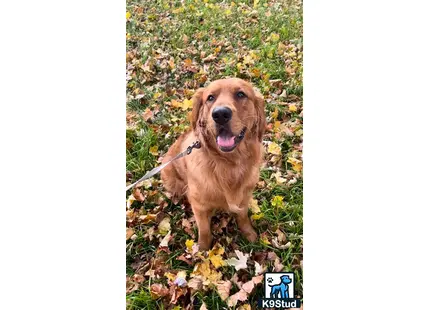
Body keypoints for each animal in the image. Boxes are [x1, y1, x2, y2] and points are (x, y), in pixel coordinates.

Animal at [160, 77, 266, 249]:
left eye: (241, 94)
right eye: (210, 98)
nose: (220, 114)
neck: (229, 164)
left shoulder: (245, 196)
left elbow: (243, 217)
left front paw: (249, 233)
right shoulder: (199, 206)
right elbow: (204, 229)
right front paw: (203, 249)